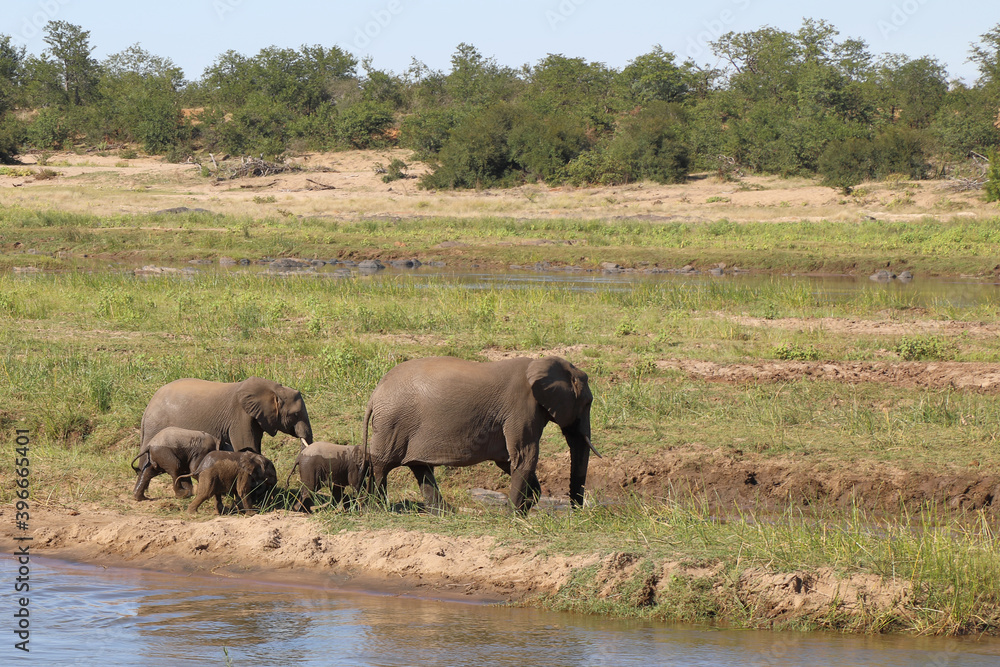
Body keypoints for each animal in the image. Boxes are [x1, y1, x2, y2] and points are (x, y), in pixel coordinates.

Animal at [140, 377, 313, 455]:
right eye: (295, 414)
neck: (274, 389)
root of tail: (148, 407)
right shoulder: (239, 416)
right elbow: (247, 446)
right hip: (156, 425)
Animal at [360, 355, 597, 515]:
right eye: (587, 403)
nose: (576, 513)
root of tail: (375, 393)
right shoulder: (521, 409)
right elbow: (524, 456)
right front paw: (513, 516)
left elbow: (508, 459)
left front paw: (524, 507)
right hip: (392, 424)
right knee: (382, 464)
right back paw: (377, 508)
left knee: (420, 467)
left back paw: (446, 513)